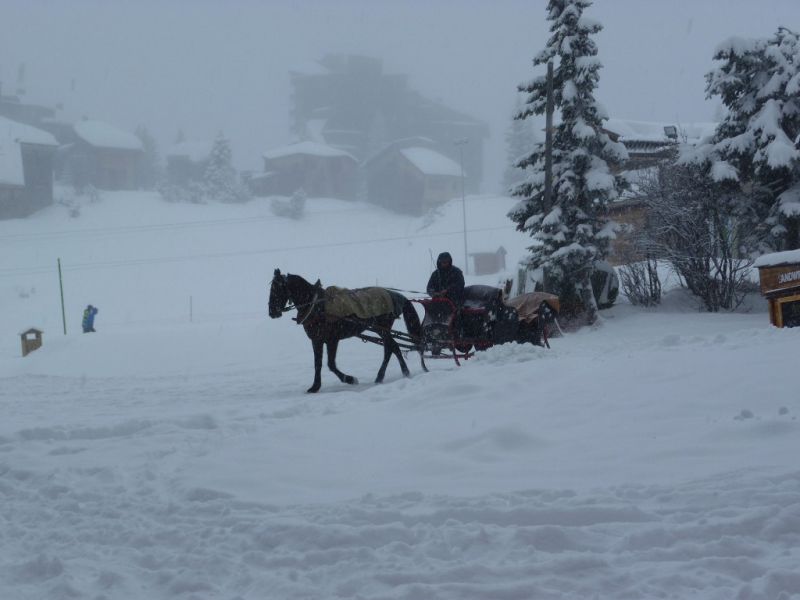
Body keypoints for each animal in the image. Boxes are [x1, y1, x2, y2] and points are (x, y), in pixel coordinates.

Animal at [268, 268, 424, 394]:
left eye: (277, 289)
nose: (271, 312)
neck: (317, 306)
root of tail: (394, 294)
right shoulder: (316, 340)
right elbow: (318, 364)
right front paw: (315, 386)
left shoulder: (332, 340)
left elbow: (331, 364)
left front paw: (350, 379)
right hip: (381, 330)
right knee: (392, 348)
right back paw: (394, 374)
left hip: (382, 329)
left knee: (392, 348)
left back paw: (395, 374)